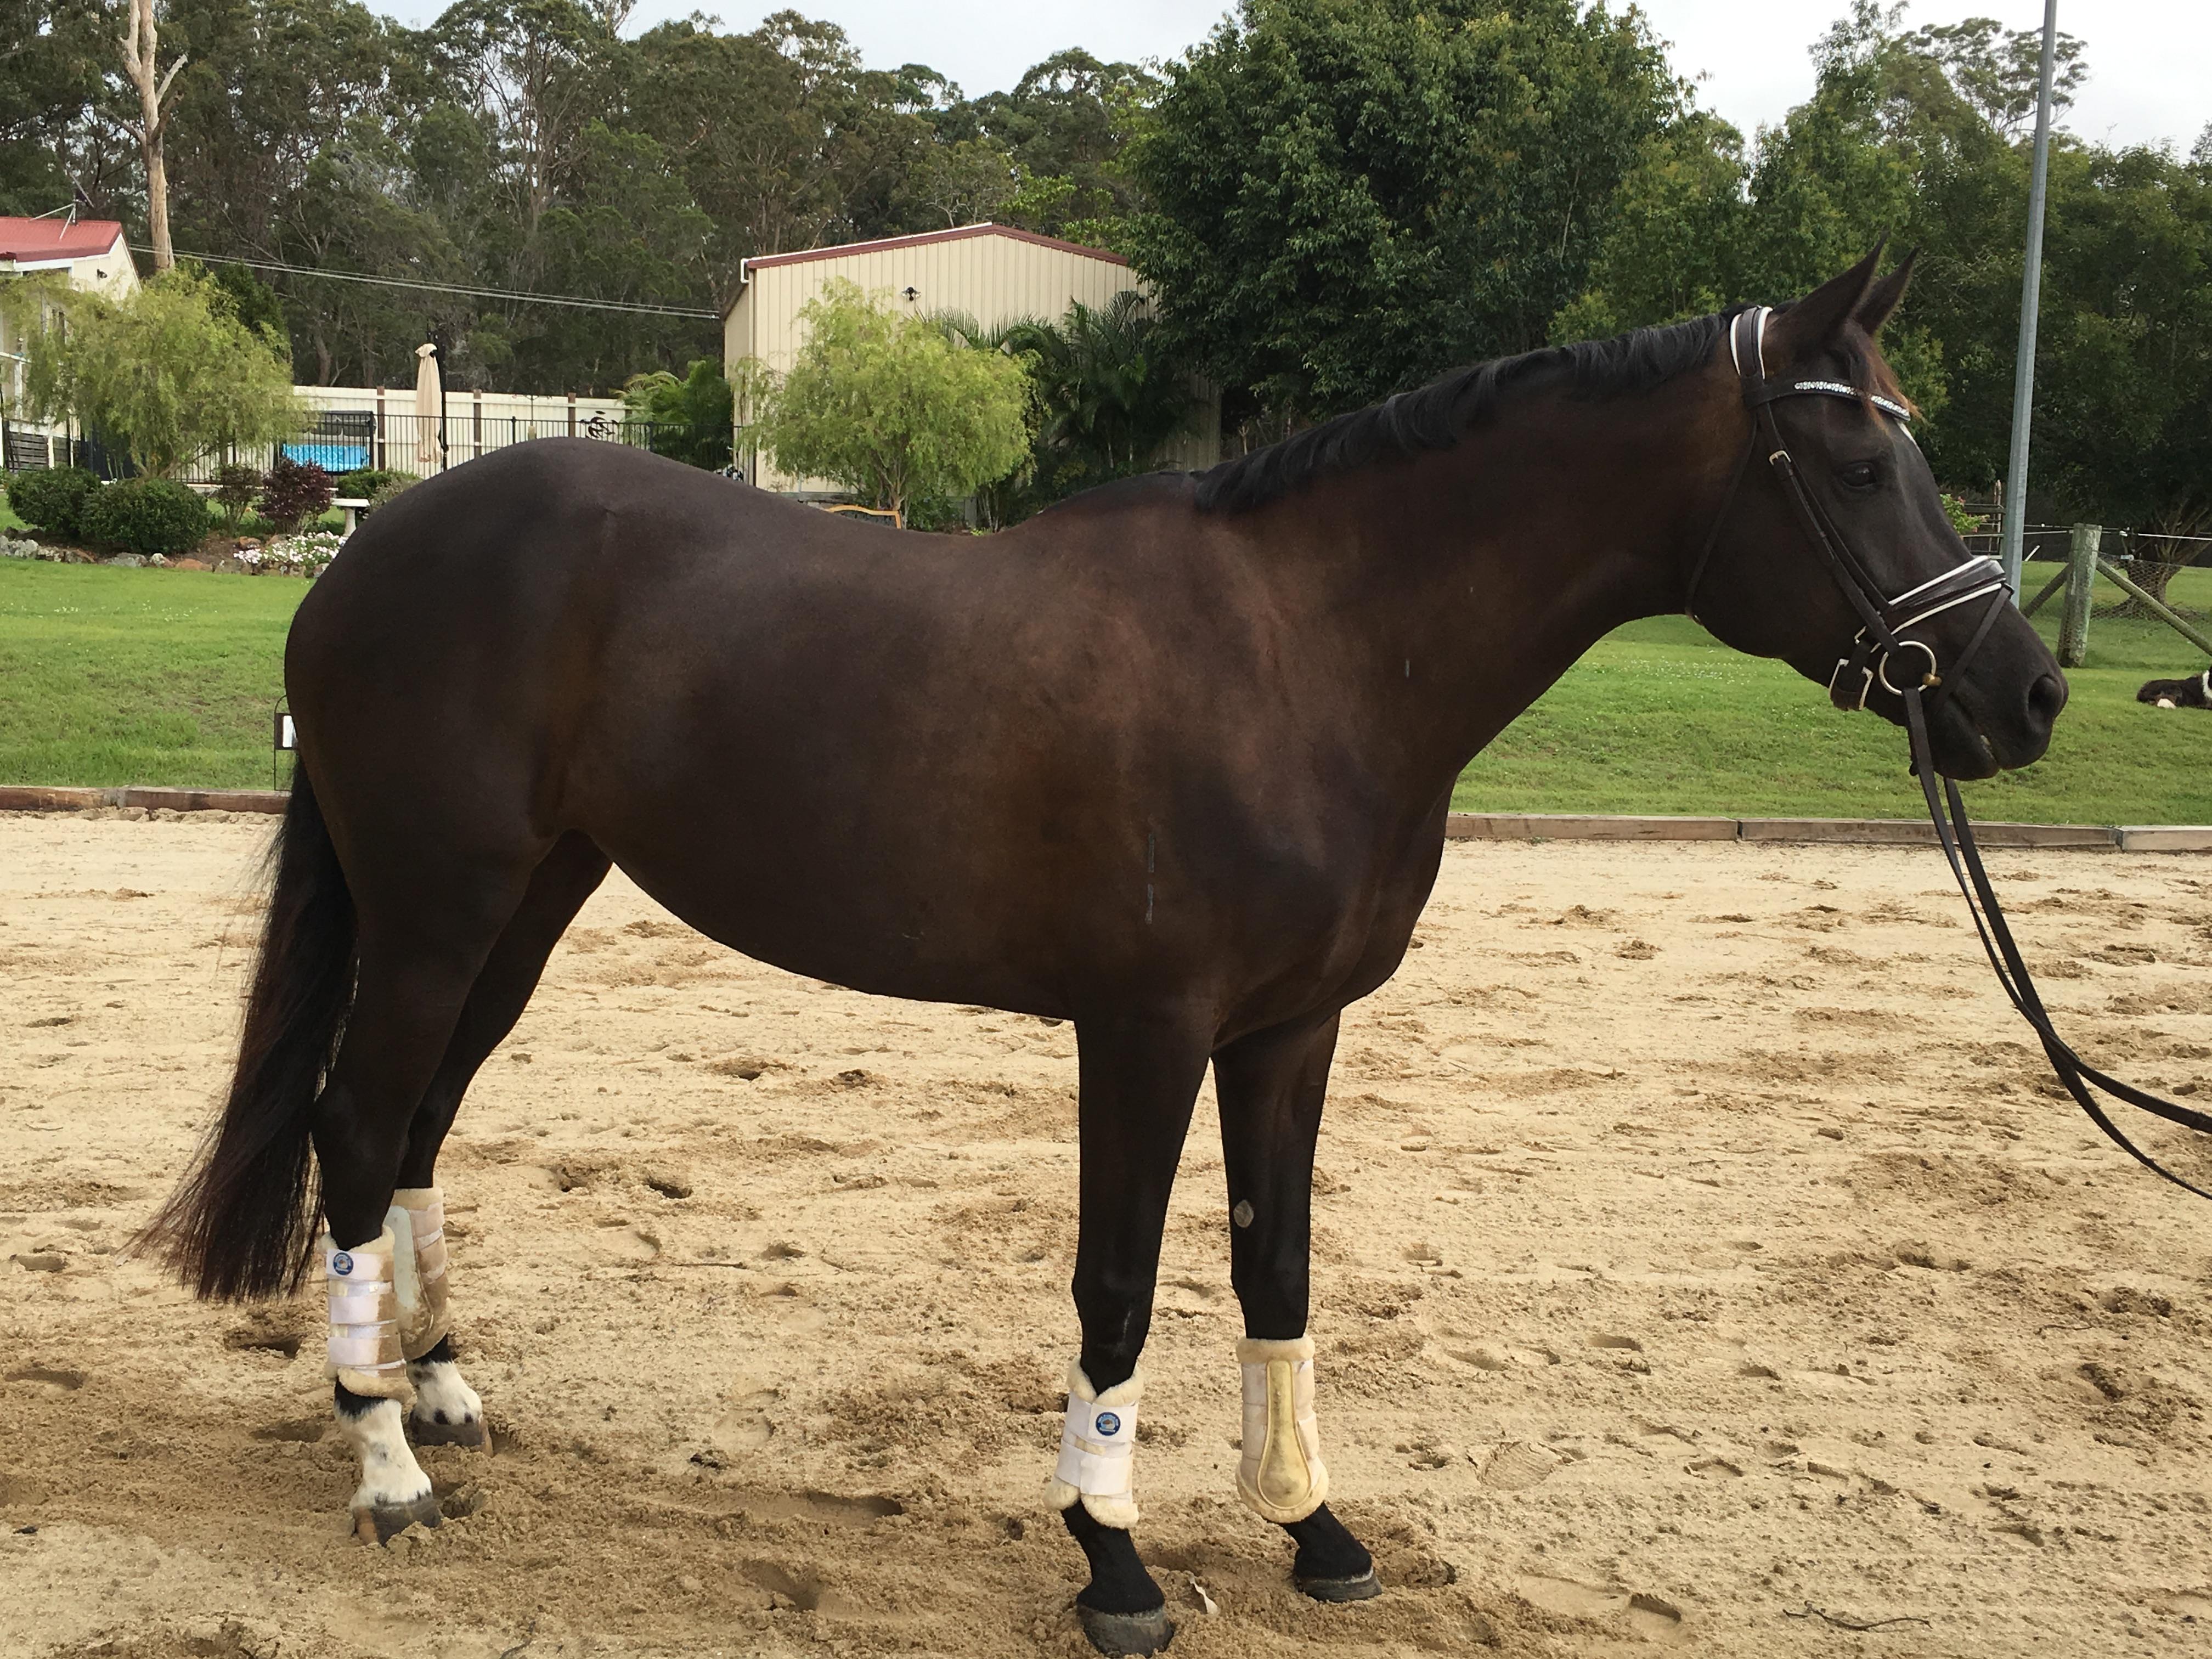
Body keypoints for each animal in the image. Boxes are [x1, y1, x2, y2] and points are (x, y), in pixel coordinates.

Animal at [146, 249, 2065, 1656]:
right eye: (1861, 463)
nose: (2025, 693)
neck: (1309, 652)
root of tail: (369, 553)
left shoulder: (1293, 1032)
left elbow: (1277, 1271)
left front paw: (1319, 1534)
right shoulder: (1144, 1031)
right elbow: (1122, 1284)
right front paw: (1113, 1559)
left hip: (527, 907)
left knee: (416, 1129)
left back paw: (444, 1389)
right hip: (439, 909)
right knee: (354, 1124)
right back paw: (384, 1462)